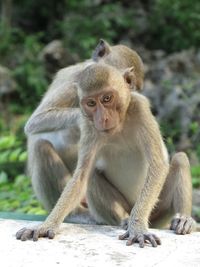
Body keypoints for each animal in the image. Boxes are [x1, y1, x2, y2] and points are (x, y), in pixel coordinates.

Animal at [16, 63, 196, 248]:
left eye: (107, 98)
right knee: (92, 175)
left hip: (158, 211)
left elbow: (158, 165)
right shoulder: (88, 125)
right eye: (91, 103)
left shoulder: (140, 107)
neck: (120, 124)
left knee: (180, 159)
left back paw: (182, 219)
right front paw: (46, 226)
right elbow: (81, 177)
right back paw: (124, 220)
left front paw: (138, 227)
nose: (102, 118)